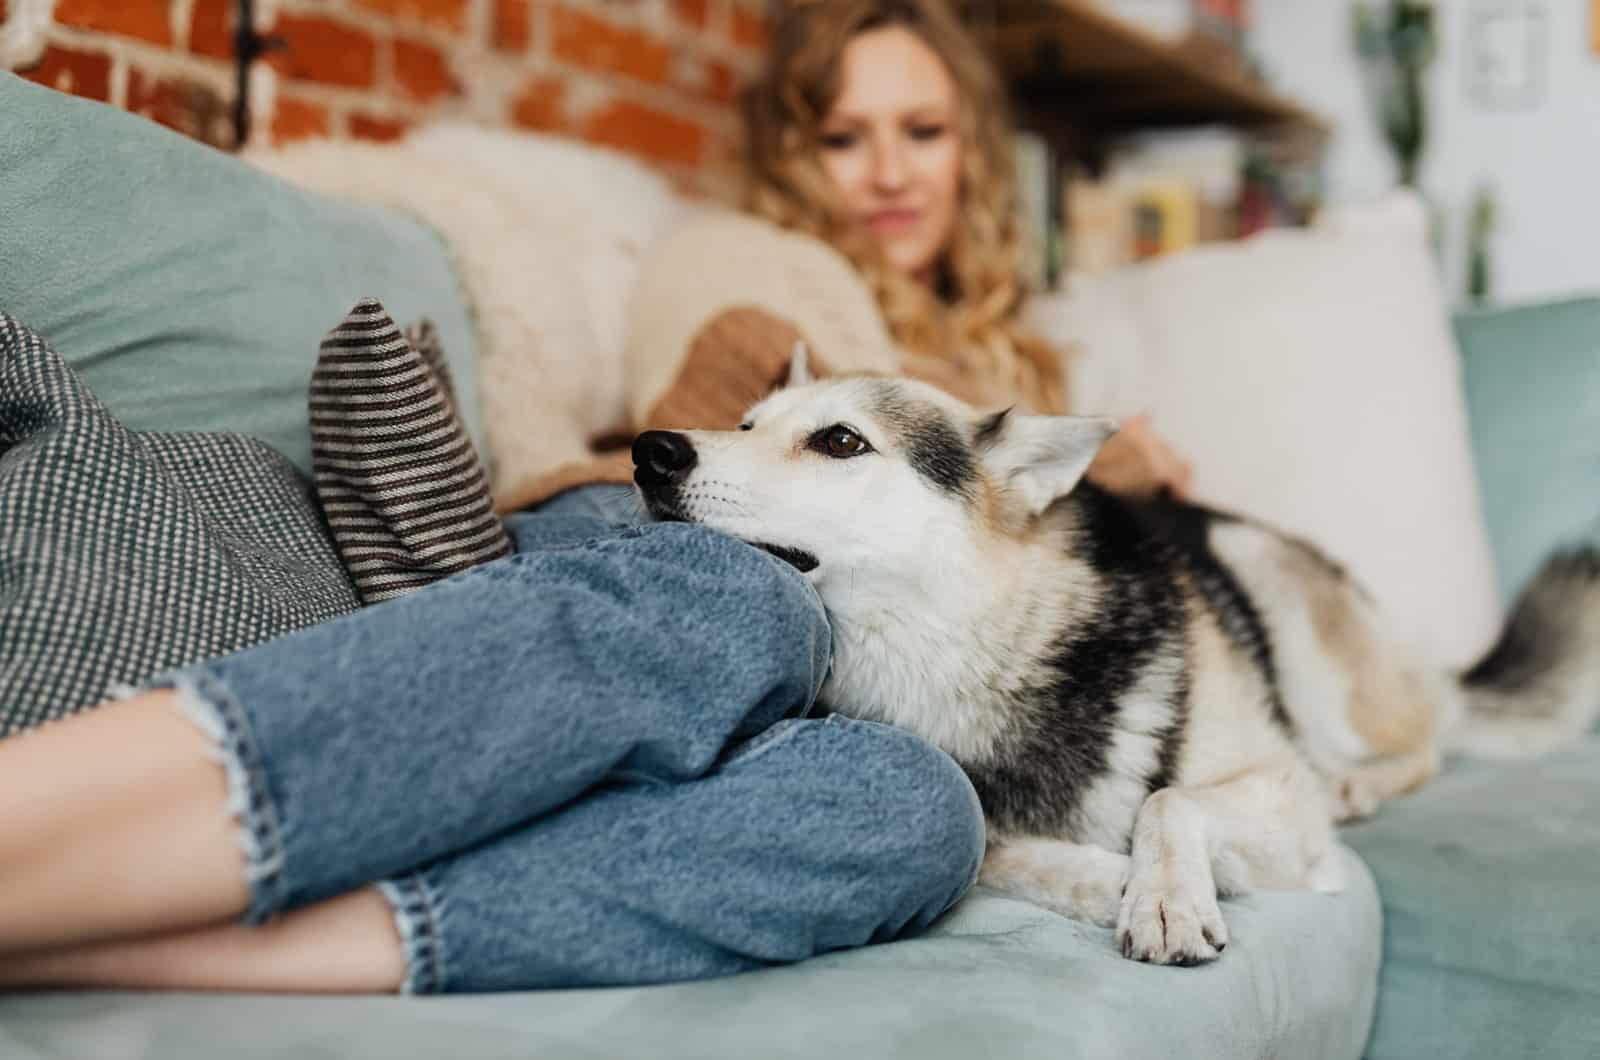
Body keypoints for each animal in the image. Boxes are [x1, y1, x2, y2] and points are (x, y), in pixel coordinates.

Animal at [627, 350, 1600, 973]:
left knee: (1423, 741)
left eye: (839, 442)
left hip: (1273, 591)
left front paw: (1165, 893)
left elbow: (1168, 801)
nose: (651, 452)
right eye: (745, 423)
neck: (966, 645)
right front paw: (1109, 880)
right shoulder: (990, 816)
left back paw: (1358, 780)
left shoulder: (1278, 792)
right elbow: (1001, 847)